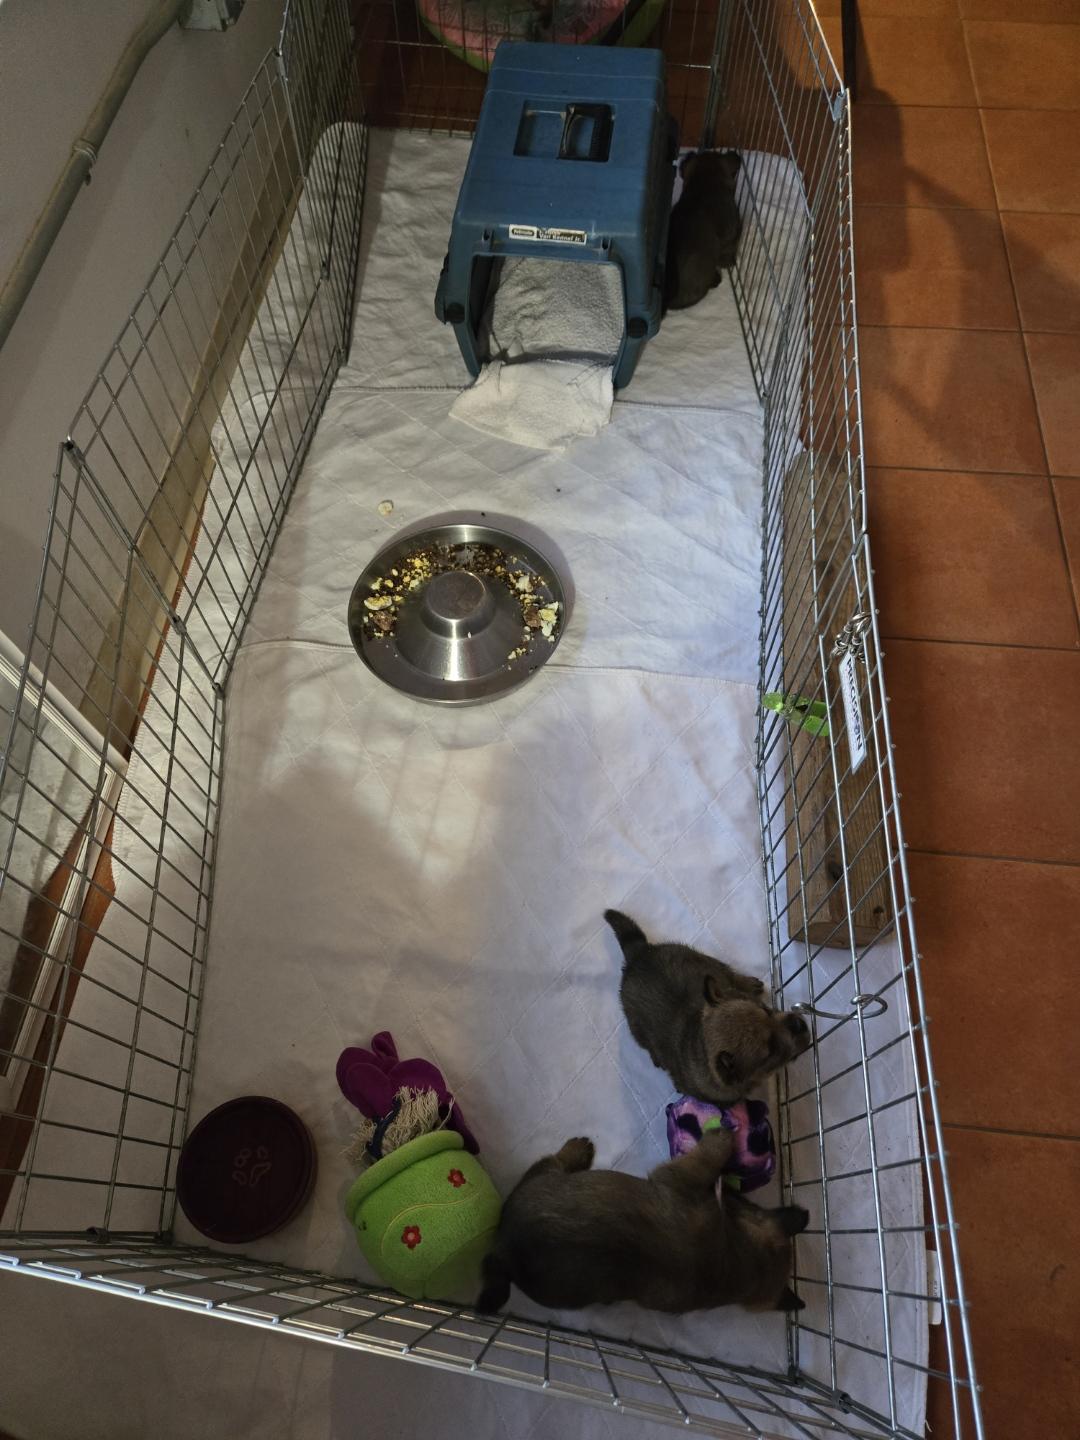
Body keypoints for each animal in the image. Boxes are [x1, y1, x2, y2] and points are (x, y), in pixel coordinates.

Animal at [476, 1131, 807, 1315]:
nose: (731, 1190)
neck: (735, 1265)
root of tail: (503, 1249)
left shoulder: (680, 1177)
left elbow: (709, 1154)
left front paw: (722, 1135)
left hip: (541, 1176)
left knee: (555, 1159)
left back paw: (577, 1150)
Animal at [606, 910, 812, 1105]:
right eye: (771, 1050)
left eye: (766, 1009)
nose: (799, 1024)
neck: (699, 1038)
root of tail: (639, 952)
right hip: (635, 1025)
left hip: (701, 958)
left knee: (727, 972)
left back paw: (749, 984)